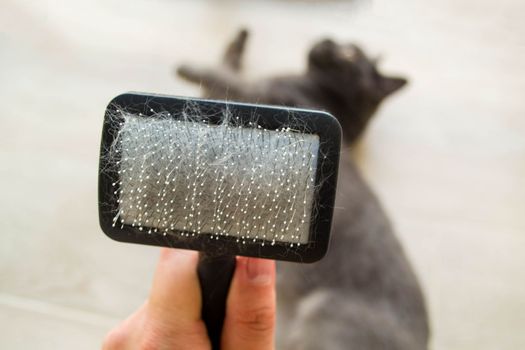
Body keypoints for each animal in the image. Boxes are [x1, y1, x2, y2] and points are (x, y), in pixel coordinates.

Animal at [178, 28, 428, 348]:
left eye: (349, 54)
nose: (327, 39)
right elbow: (226, 66)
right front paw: (240, 38)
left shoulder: (261, 96)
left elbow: (224, 74)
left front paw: (188, 67)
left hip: (321, 317)